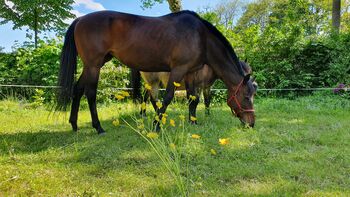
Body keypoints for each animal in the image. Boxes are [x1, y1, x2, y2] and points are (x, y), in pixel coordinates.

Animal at [57, 10, 258, 135]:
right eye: (246, 97)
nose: (251, 123)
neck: (200, 36)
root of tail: (80, 20)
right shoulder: (178, 70)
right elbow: (168, 97)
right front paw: (157, 124)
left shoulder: (191, 74)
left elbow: (193, 99)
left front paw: (193, 121)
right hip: (94, 65)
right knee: (90, 93)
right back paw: (98, 127)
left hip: (91, 66)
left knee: (77, 89)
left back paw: (74, 125)